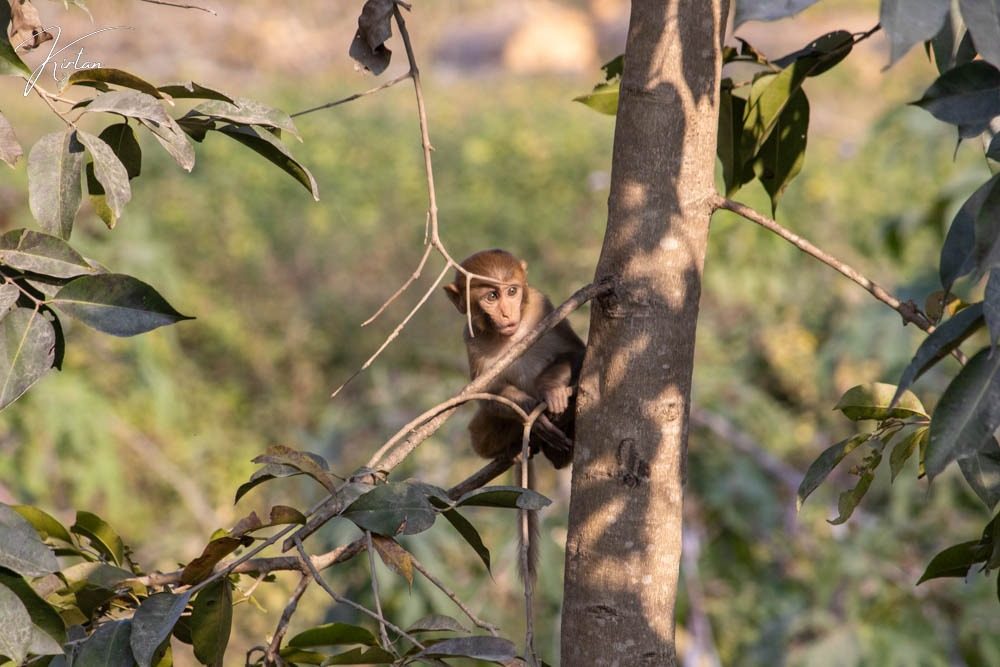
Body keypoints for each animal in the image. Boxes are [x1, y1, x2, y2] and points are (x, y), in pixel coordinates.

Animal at [442, 248, 585, 469]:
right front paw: (532, 412)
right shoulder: (471, 338)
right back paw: (514, 450)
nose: (507, 314)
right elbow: (486, 390)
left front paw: (552, 390)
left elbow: (575, 351)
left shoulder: (541, 304)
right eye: (492, 296)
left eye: (511, 291)